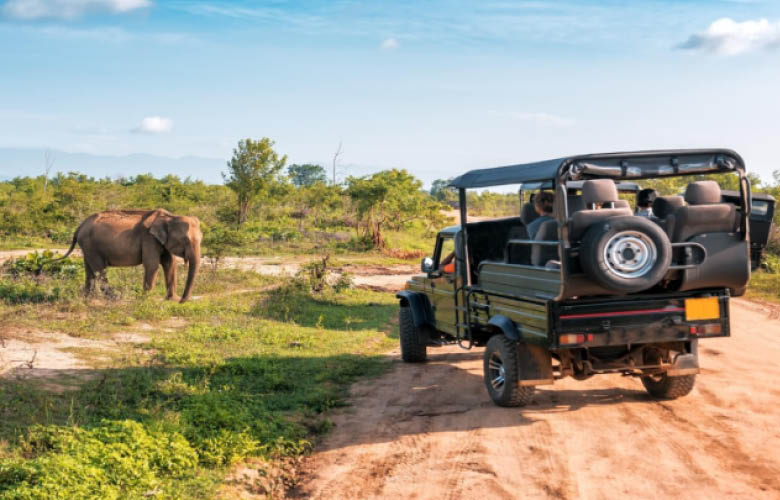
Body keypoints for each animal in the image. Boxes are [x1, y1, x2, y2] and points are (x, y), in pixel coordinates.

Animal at [58, 209, 202, 303]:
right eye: (185, 240)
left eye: (201, 240)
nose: (182, 300)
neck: (170, 217)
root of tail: (80, 226)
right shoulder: (149, 238)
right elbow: (152, 265)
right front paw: (146, 300)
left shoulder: (161, 241)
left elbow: (170, 264)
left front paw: (172, 299)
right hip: (90, 245)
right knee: (99, 269)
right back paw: (115, 297)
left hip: (87, 247)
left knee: (90, 270)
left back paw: (88, 298)